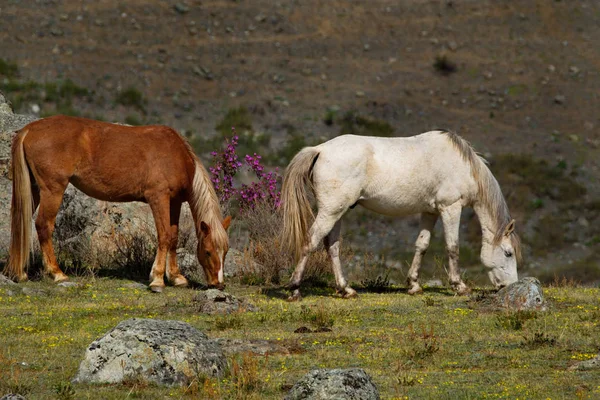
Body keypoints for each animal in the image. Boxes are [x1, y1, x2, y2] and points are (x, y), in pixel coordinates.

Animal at [4, 114, 230, 292]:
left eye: (225, 251)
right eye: (208, 251)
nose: (218, 284)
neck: (176, 154)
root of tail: (29, 129)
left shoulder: (174, 202)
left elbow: (173, 237)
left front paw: (176, 277)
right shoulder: (158, 198)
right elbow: (164, 236)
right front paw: (157, 279)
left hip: (34, 190)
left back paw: (19, 273)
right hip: (53, 190)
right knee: (43, 225)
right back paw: (57, 273)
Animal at [282, 131, 520, 300]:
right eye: (508, 253)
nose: (509, 287)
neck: (463, 165)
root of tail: (319, 150)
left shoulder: (430, 211)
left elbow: (422, 245)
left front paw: (413, 285)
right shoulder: (450, 208)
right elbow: (453, 247)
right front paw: (459, 286)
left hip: (337, 212)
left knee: (332, 246)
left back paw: (345, 289)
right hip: (330, 212)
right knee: (310, 242)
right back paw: (295, 290)